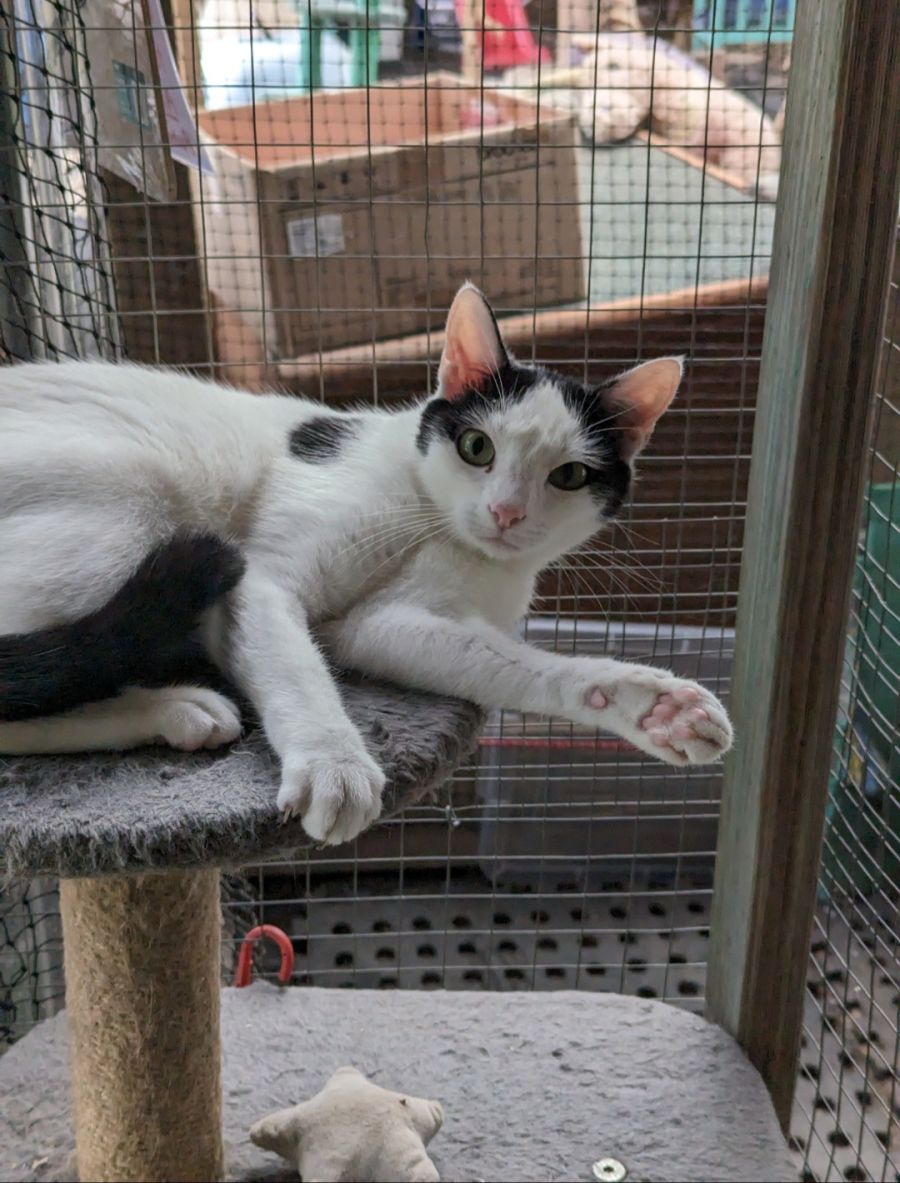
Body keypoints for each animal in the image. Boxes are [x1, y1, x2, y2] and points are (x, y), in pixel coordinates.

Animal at [0, 284, 733, 845]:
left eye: (570, 475)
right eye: (477, 447)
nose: (504, 512)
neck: (434, 525)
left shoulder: (382, 627)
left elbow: (520, 668)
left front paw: (653, 705)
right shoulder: (261, 579)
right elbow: (295, 667)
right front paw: (334, 763)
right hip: (133, 501)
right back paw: (174, 706)